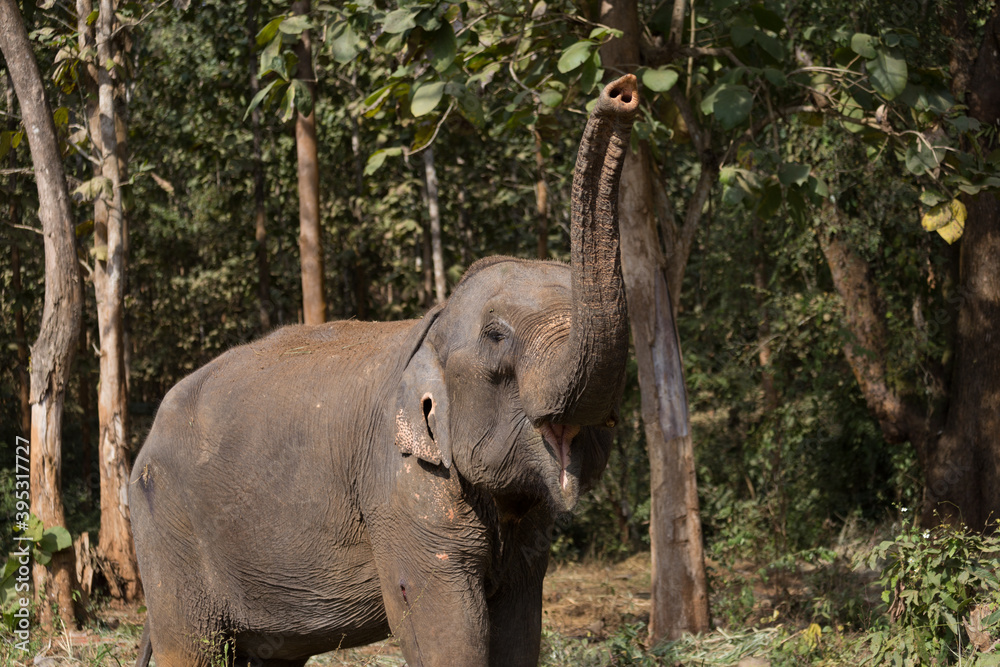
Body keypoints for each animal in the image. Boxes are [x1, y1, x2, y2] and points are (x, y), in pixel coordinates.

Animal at [130, 74, 639, 667]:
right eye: (496, 336)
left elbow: (518, 620)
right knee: (194, 647)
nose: (623, 90)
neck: (431, 324)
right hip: (166, 535)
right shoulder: (398, 489)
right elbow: (441, 623)